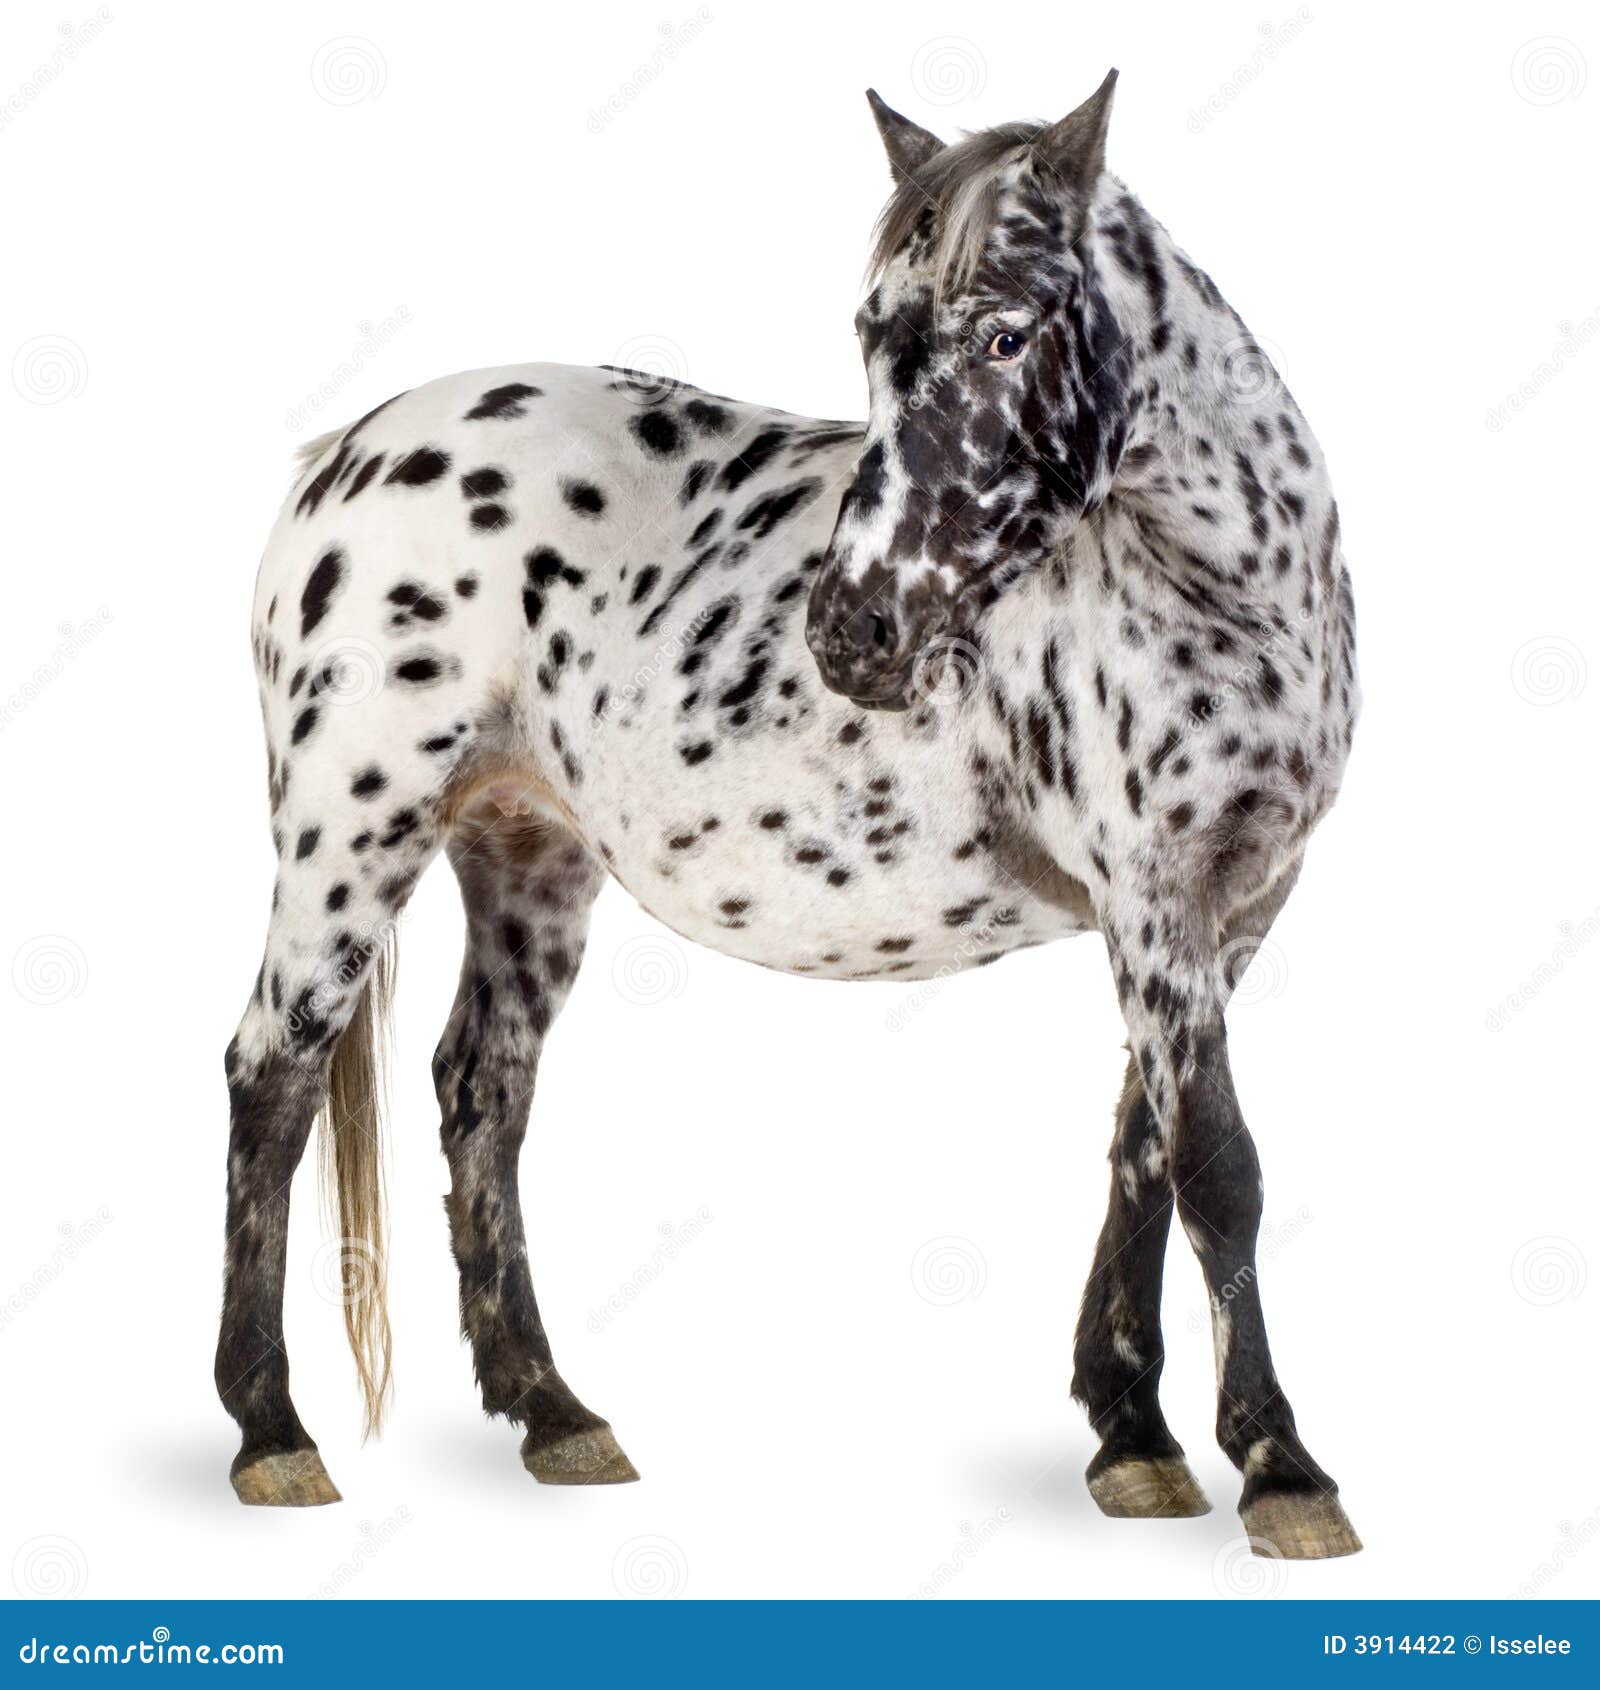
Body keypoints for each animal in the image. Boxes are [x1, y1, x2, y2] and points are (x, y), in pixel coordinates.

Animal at [218, 69, 1361, 1561]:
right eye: (870, 337)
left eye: (1005, 331)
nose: (852, 632)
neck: (1231, 594)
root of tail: (346, 453)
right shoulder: (1155, 899)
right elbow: (1220, 1167)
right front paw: (1281, 1469)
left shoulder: (1233, 908)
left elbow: (1149, 1148)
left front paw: (1132, 1437)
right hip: (353, 835)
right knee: (271, 1077)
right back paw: (272, 1433)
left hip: (525, 853)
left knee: (483, 1089)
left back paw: (552, 1413)